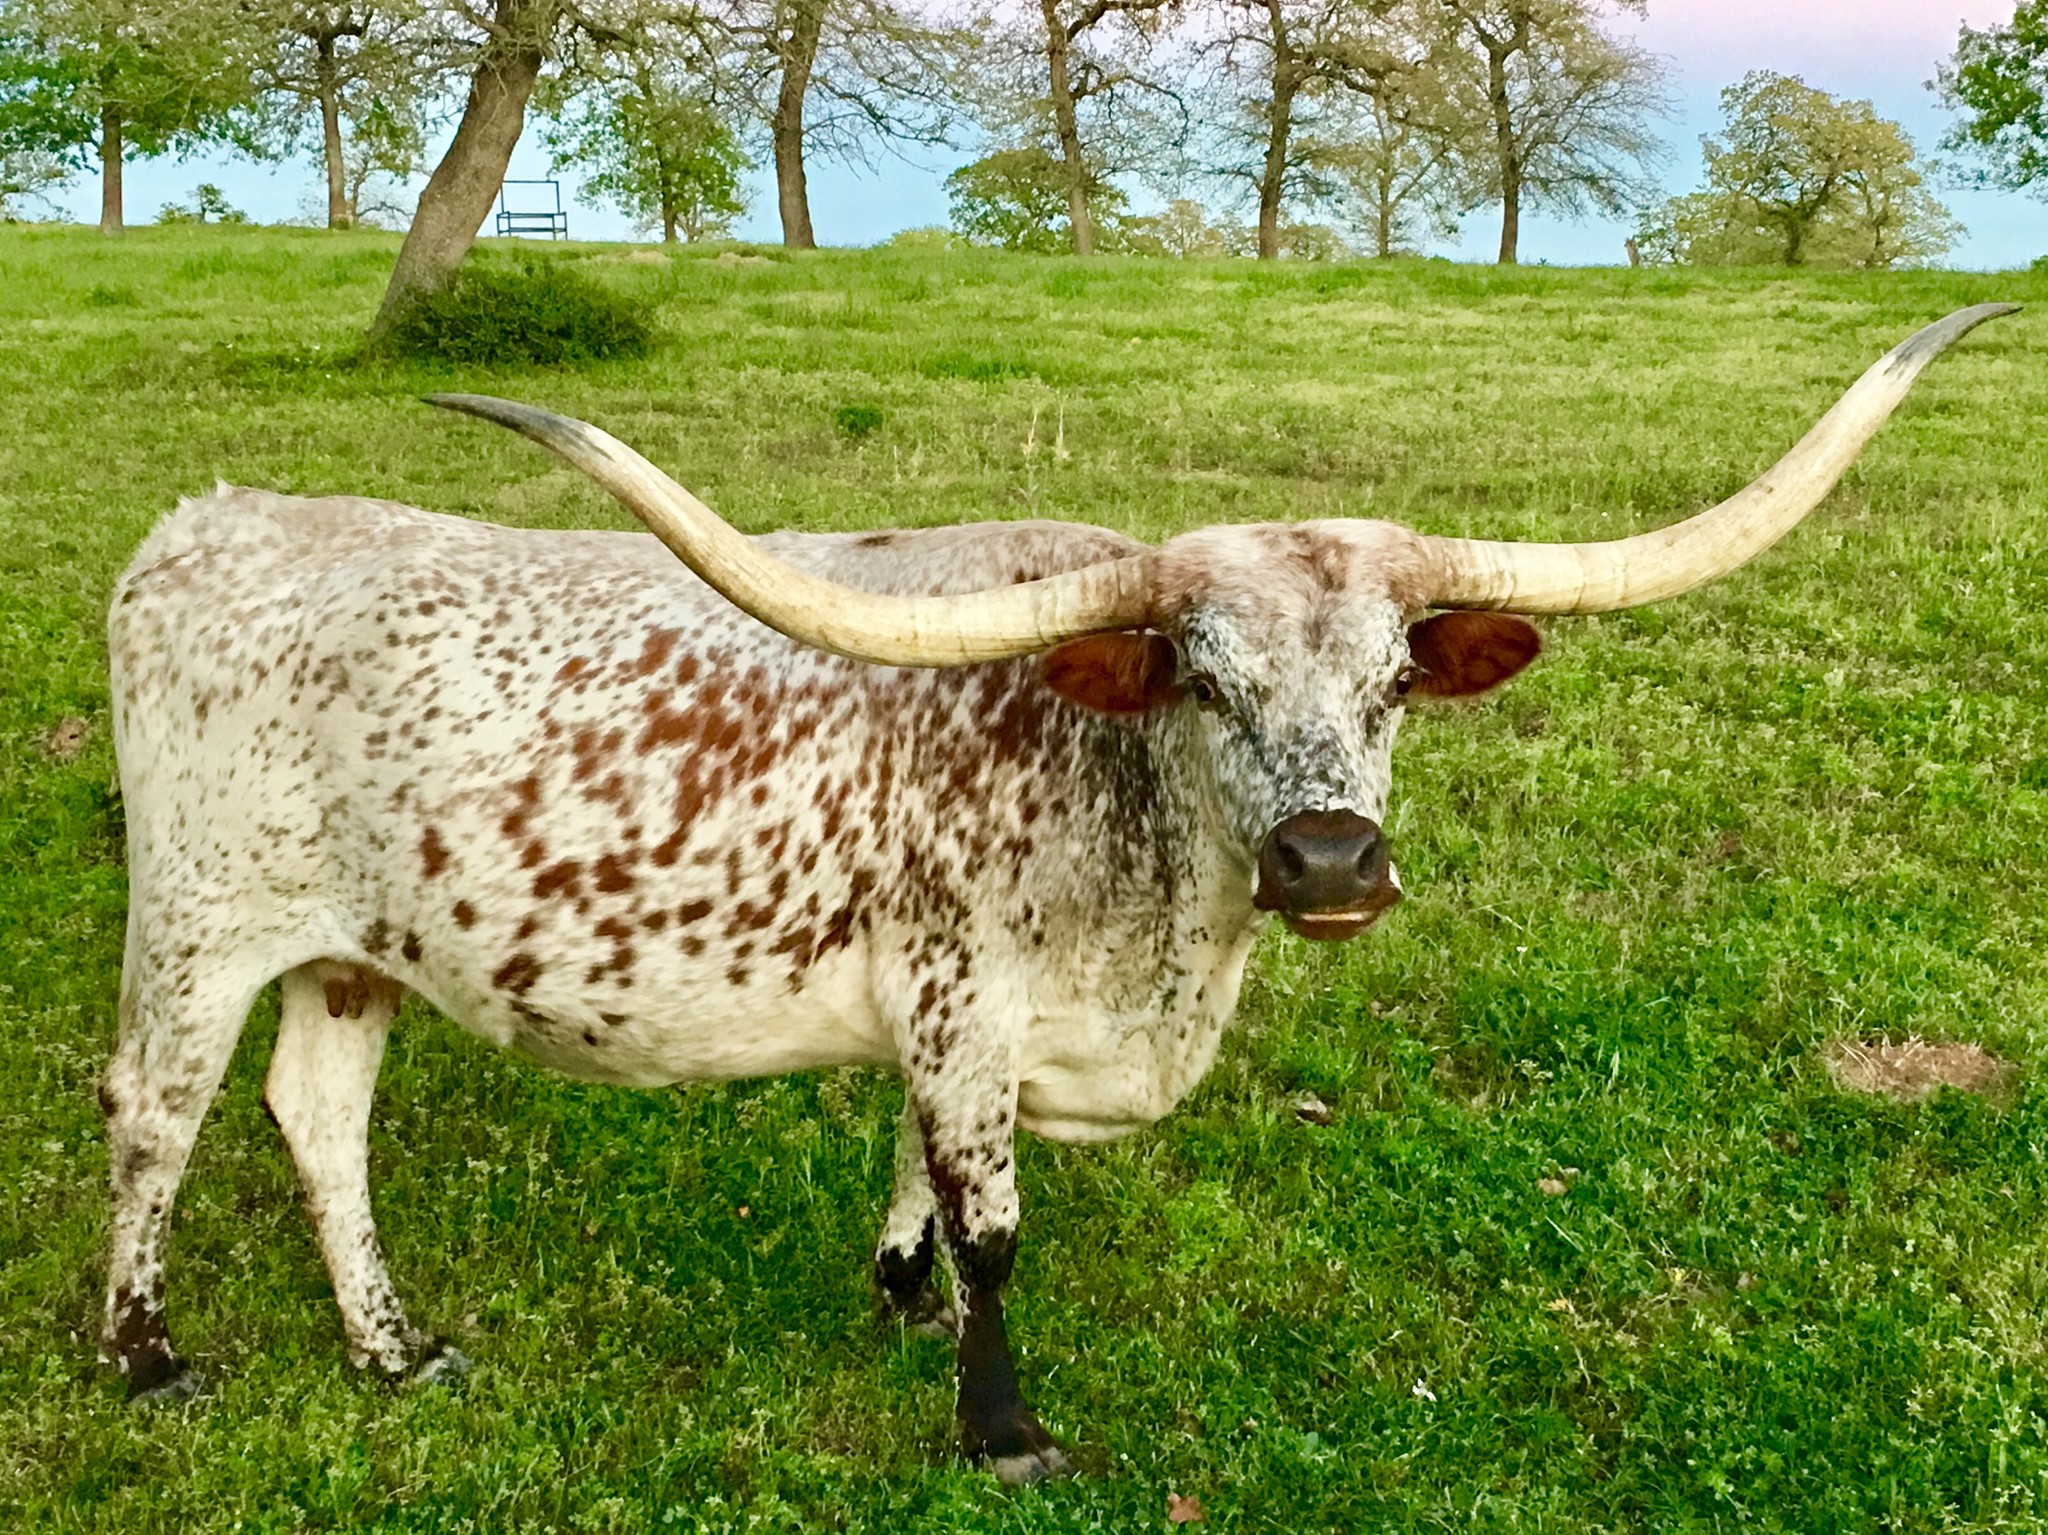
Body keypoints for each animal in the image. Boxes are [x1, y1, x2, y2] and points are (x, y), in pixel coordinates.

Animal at [99, 305, 2011, 1483]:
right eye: (1203, 681)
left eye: (1394, 679)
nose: (1331, 860)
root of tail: (203, 521)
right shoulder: (963, 1006)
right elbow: (998, 1222)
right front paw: (999, 1423)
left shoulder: (950, 1023)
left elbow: (920, 1183)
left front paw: (899, 1302)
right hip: (195, 925)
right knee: (153, 1111)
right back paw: (143, 1356)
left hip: (355, 950)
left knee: (316, 1112)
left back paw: (391, 1347)